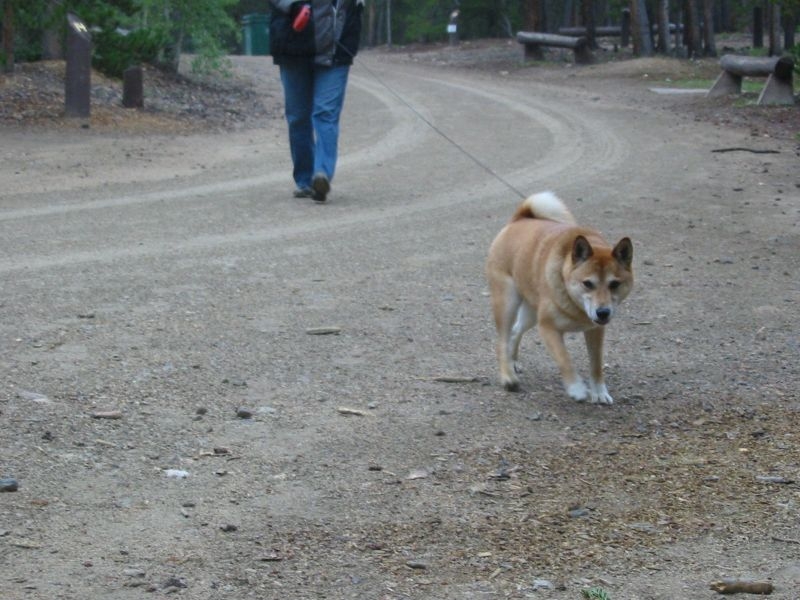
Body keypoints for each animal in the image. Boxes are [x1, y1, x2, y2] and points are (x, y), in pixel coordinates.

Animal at [484, 192, 636, 406]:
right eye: (587, 283)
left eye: (614, 284)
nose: (603, 312)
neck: (575, 305)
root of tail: (519, 219)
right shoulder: (548, 328)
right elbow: (565, 360)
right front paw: (576, 388)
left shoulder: (595, 331)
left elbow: (596, 364)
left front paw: (599, 391)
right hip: (508, 303)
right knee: (502, 342)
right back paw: (508, 377)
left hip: (530, 314)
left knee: (515, 331)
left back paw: (513, 362)